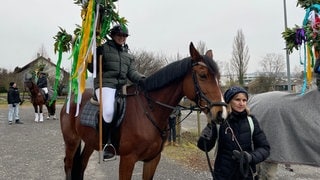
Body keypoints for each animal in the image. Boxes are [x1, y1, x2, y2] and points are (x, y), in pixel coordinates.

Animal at [60, 42, 228, 180]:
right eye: (203, 75)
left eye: (219, 77)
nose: (221, 113)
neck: (149, 111)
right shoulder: (127, 160)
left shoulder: (152, 160)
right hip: (71, 141)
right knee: (68, 164)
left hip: (90, 142)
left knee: (81, 164)